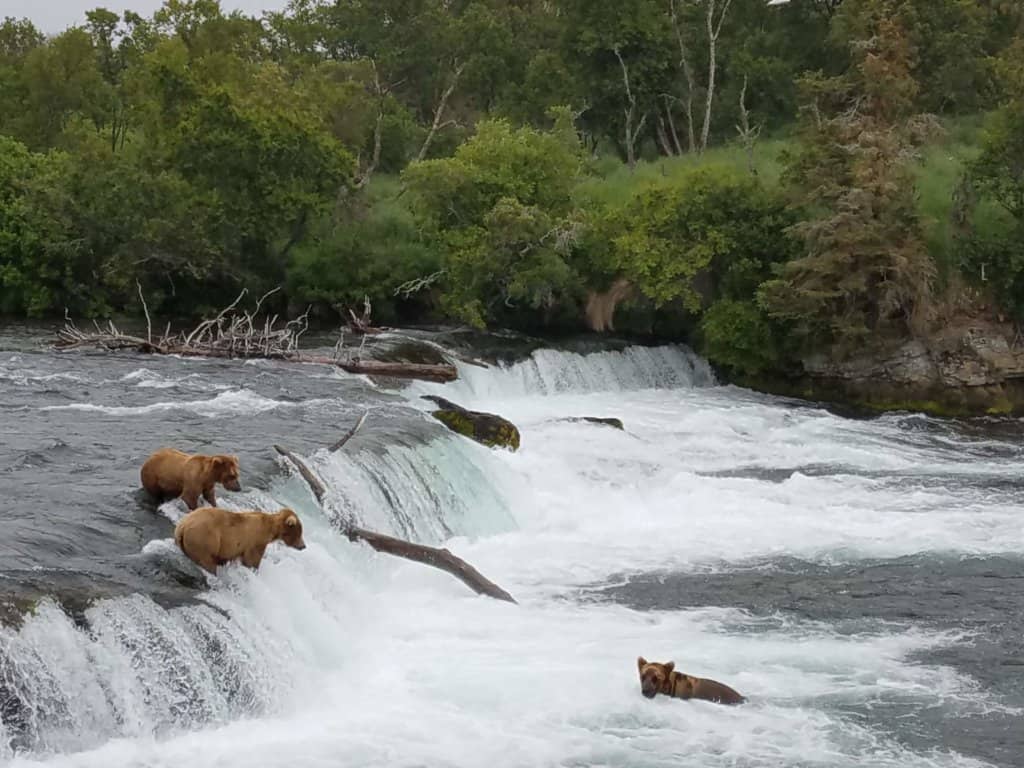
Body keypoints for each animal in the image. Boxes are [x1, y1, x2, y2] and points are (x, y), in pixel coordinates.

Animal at [174, 507, 307, 573]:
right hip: (205, 539)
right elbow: (252, 561)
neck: (270, 530)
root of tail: (182, 527)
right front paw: (253, 569)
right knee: (207, 561)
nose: (303, 546)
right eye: (300, 533)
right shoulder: (255, 542)